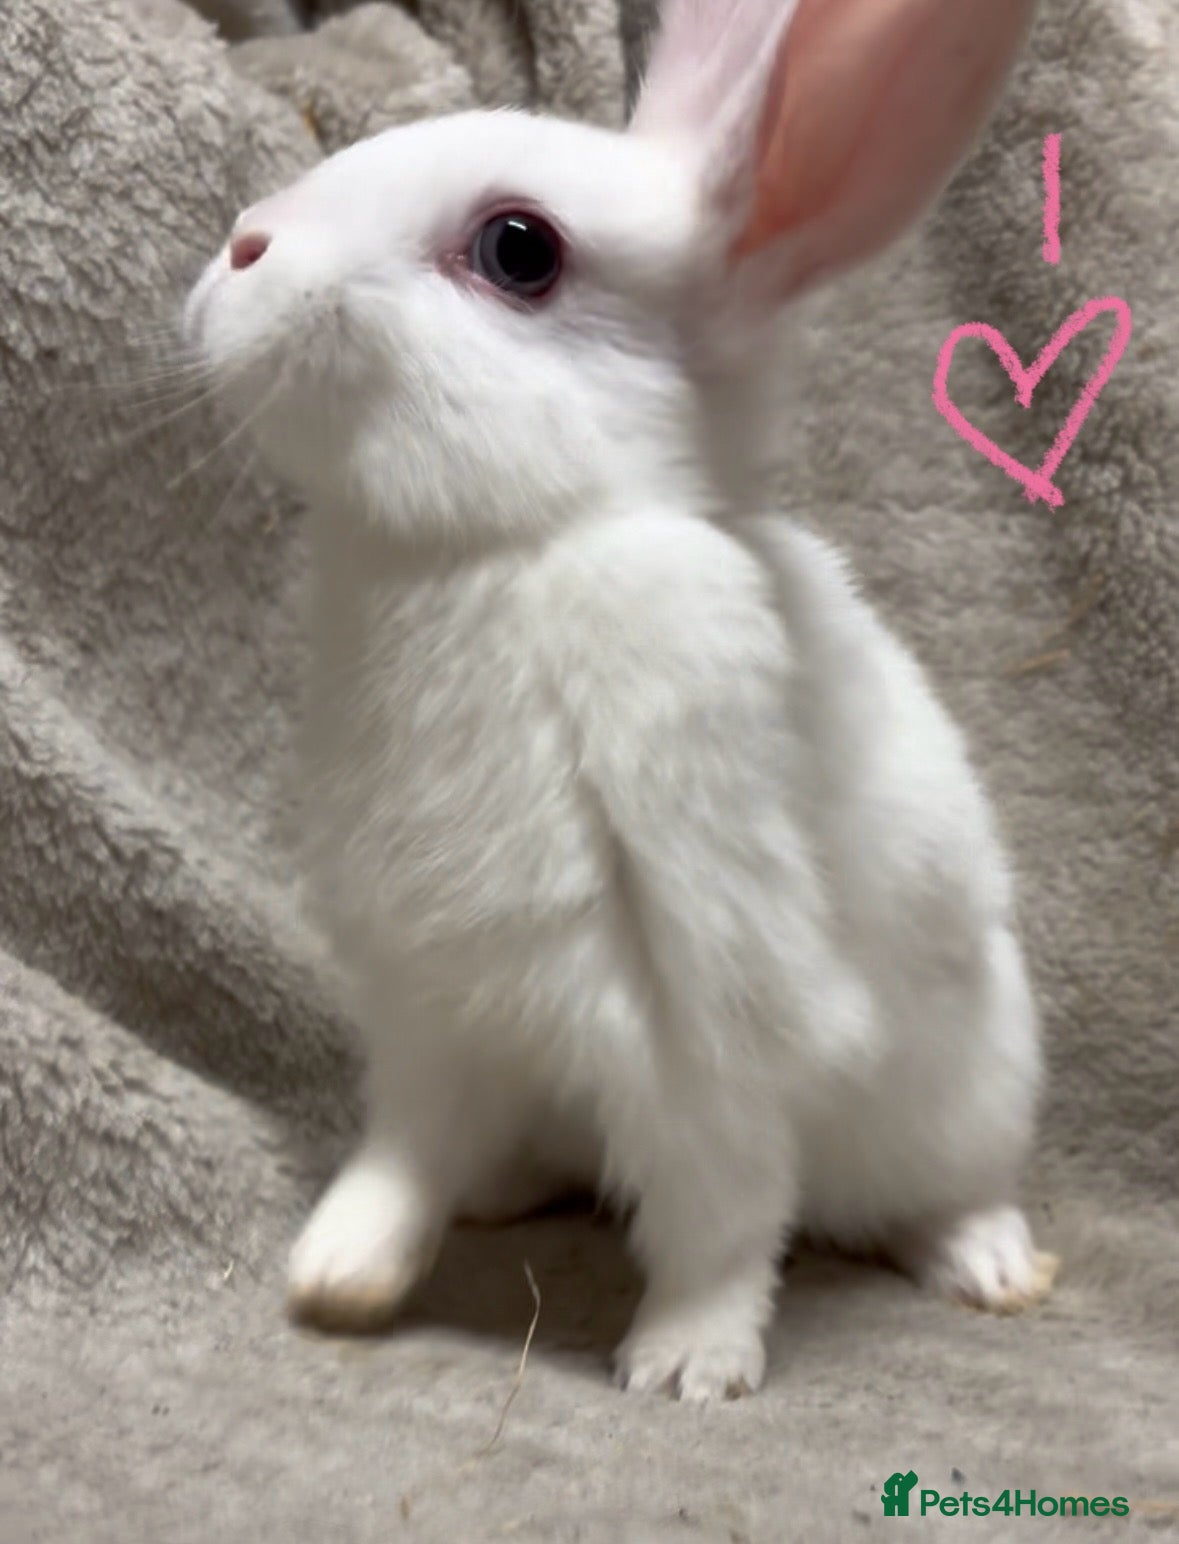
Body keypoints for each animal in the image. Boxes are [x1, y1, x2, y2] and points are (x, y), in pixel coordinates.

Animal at [184, 0, 1056, 1401]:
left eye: (519, 250)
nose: (242, 246)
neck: (515, 548)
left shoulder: (710, 1012)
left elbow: (722, 1210)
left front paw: (688, 1364)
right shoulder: (432, 1008)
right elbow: (401, 1153)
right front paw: (333, 1275)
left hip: (969, 1086)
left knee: (941, 1188)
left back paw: (988, 1264)